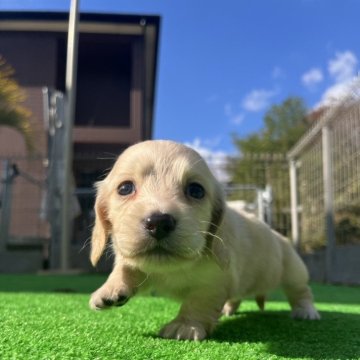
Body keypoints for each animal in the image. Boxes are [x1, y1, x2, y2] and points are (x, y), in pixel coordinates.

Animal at [88, 140, 320, 340]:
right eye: (125, 188)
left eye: (196, 190)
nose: (159, 223)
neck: (173, 267)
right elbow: (125, 268)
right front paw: (109, 290)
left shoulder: (215, 281)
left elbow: (198, 302)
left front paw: (185, 326)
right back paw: (229, 308)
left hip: (293, 270)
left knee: (301, 291)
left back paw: (306, 311)